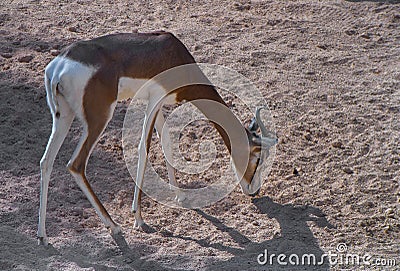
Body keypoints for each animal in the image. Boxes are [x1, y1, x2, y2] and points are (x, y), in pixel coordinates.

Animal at [39, 31, 278, 246]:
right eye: (258, 157)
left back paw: (43, 236)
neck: (173, 53)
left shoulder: (160, 102)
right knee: (76, 164)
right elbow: (143, 149)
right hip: (99, 118)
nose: (254, 191)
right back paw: (114, 226)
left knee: (46, 161)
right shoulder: (154, 99)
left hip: (62, 116)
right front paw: (138, 217)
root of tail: (59, 67)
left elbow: (167, 143)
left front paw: (180, 195)